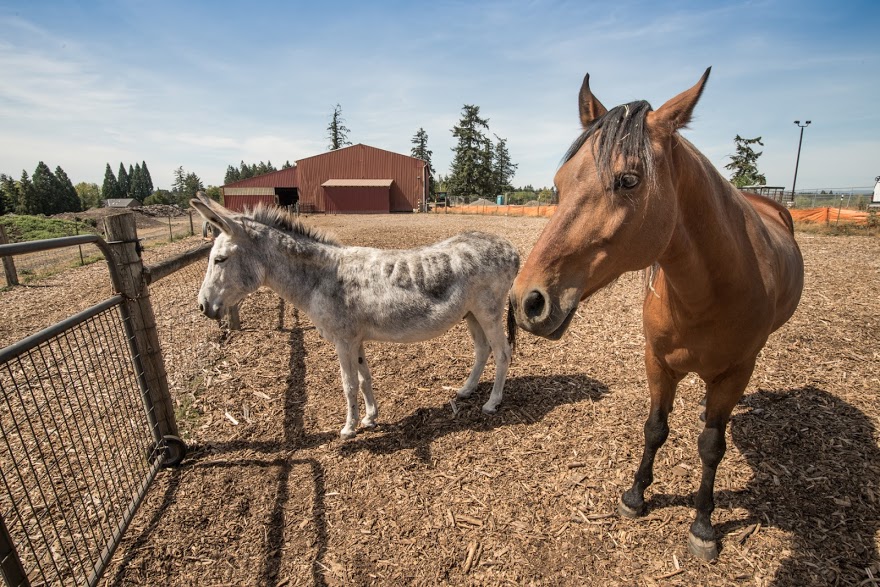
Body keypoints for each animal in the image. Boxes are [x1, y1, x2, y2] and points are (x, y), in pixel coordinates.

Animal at [190, 194, 520, 440]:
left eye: (220, 259)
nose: (203, 306)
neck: (321, 278)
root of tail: (511, 248)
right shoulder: (356, 339)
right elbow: (364, 378)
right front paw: (370, 418)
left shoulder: (344, 340)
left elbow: (347, 383)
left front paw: (348, 428)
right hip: (471, 313)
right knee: (483, 350)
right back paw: (466, 390)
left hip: (489, 312)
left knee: (503, 352)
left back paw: (492, 403)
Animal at [509, 69, 804, 560]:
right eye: (559, 182)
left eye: (628, 180)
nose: (525, 302)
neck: (705, 296)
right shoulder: (657, 362)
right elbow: (654, 429)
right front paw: (635, 495)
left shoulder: (734, 374)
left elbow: (711, 446)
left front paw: (703, 525)